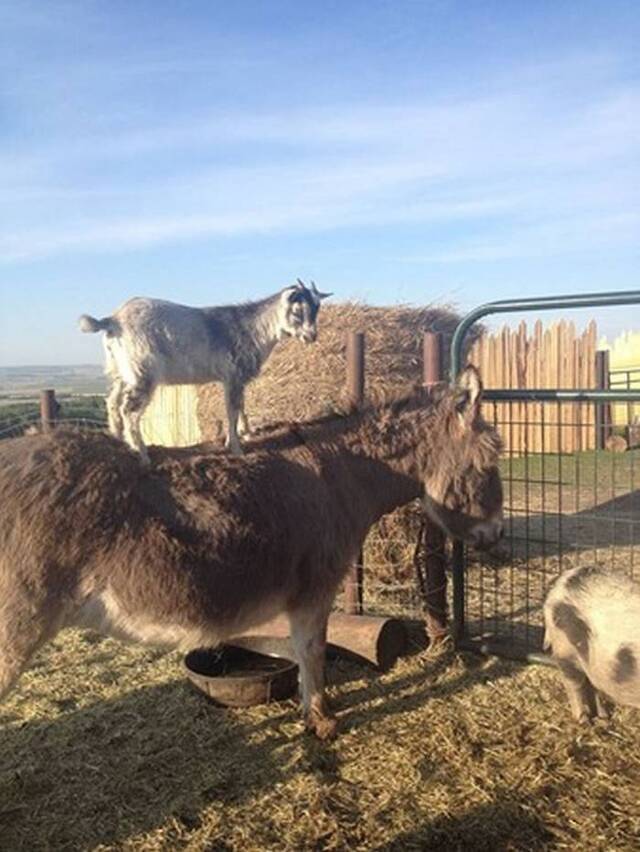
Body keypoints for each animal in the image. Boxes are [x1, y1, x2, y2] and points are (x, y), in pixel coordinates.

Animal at [0, 366, 502, 740]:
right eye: (490, 461)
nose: (494, 536)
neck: (339, 475)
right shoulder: (314, 590)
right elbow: (313, 651)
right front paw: (323, 720)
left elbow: (302, 652)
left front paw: (312, 713)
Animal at [79, 282, 330, 462]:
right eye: (297, 310)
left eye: (317, 309)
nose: (311, 336)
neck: (254, 329)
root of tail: (112, 321)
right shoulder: (233, 375)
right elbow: (232, 409)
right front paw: (236, 447)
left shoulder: (236, 379)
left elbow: (242, 406)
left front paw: (247, 432)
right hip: (143, 370)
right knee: (129, 410)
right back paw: (141, 453)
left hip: (120, 370)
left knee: (112, 402)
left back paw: (118, 439)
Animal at [544, 564, 640, 724]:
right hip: (564, 648)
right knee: (574, 684)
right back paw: (584, 721)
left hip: (592, 662)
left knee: (592, 685)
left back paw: (604, 717)